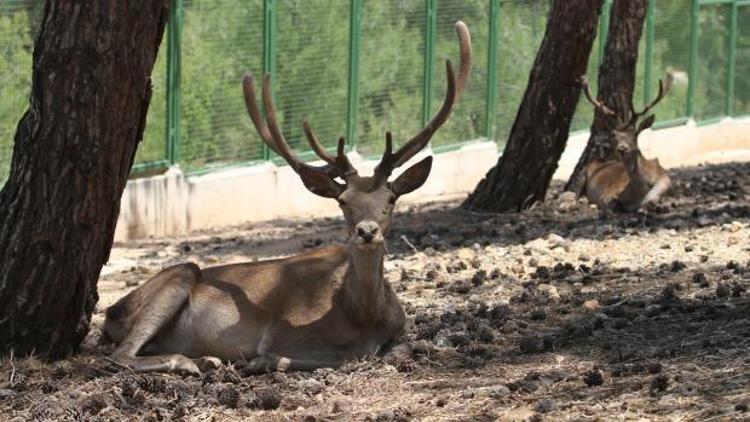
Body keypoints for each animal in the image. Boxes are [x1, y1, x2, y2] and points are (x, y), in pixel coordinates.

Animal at [103, 20, 472, 376]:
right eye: (343, 201)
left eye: (390, 199)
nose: (367, 231)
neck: (361, 316)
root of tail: (111, 313)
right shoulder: (280, 331)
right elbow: (340, 356)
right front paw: (260, 362)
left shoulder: (400, 328)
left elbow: (399, 349)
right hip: (178, 277)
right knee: (118, 355)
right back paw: (191, 361)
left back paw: (204, 359)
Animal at [580, 74, 680, 213]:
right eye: (613, 135)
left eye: (634, 135)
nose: (622, 148)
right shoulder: (607, 194)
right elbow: (612, 203)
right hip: (582, 174)